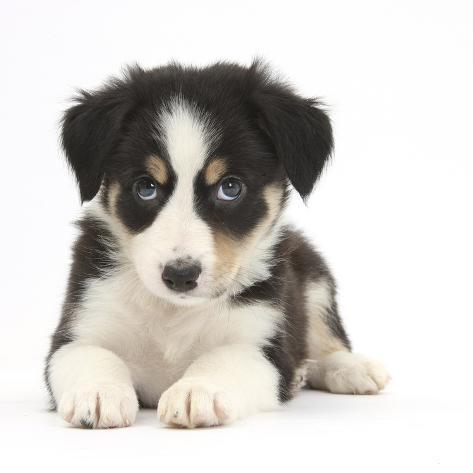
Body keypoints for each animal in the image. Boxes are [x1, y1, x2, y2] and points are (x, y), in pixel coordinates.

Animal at [44, 60, 388, 428]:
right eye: (146, 187)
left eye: (230, 187)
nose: (180, 276)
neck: (173, 312)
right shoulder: (80, 326)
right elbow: (92, 355)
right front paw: (97, 392)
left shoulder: (262, 345)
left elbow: (224, 359)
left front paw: (197, 390)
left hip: (315, 276)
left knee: (326, 340)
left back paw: (350, 368)